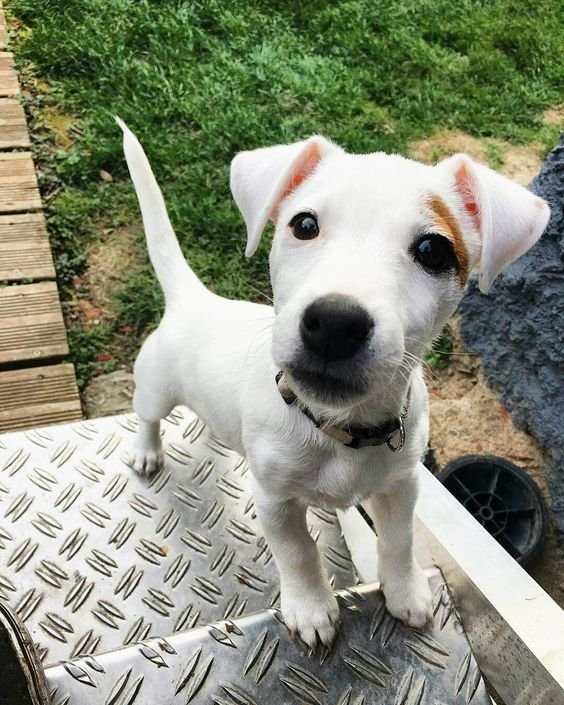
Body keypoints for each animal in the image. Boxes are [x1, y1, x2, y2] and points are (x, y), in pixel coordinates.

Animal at [117, 117, 548, 648]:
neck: (338, 427)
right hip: (155, 386)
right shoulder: (275, 501)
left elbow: (399, 541)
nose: (335, 324)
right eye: (304, 225)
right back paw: (147, 451)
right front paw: (312, 608)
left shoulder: (401, 486)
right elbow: (298, 552)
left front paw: (404, 590)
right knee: (146, 417)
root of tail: (194, 299)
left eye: (434, 250)